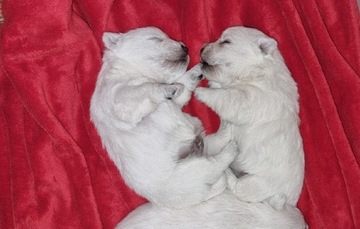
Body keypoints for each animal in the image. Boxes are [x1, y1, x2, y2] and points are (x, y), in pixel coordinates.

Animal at [89, 26, 238, 208]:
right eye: (155, 39)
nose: (185, 47)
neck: (132, 72)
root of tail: (201, 194)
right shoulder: (117, 97)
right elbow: (142, 90)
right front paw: (169, 88)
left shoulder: (175, 102)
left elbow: (182, 87)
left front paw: (195, 71)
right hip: (189, 171)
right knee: (215, 163)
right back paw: (230, 149)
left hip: (204, 149)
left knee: (215, 143)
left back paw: (226, 130)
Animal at [195, 26, 306, 206]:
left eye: (226, 42)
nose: (201, 48)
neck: (258, 72)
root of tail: (289, 203)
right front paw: (212, 82)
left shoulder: (251, 98)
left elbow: (227, 96)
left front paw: (201, 91)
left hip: (260, 183)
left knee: (241, 189)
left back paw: (228, 173)